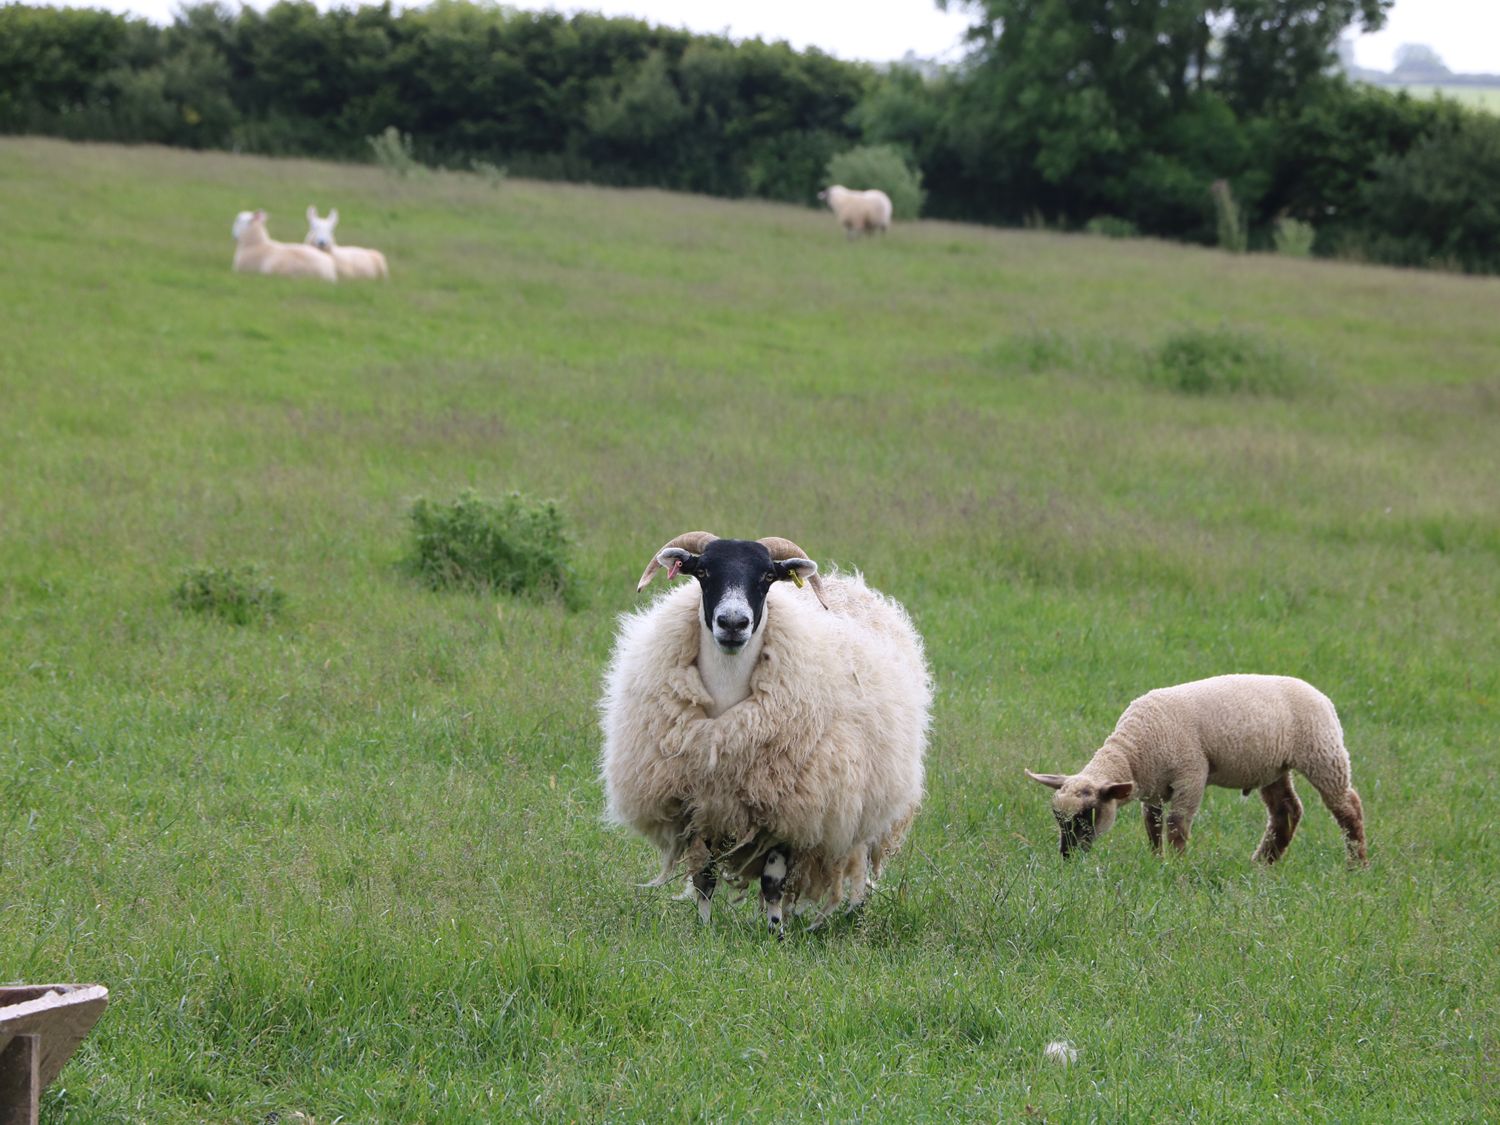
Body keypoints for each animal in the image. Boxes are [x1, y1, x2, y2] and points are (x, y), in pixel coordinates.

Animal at [594, 534, 924, 936]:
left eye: (767, 576)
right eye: (703, 572)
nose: (733, 622)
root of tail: (848, 581)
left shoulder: (789, 811)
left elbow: (772, 881)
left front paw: (775, 934)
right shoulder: (703, 801)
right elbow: (704, 877)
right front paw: (705, 930)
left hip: (863, 799)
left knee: (858, 859)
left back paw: (854, 915)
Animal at [1026, 675, 1368, 870]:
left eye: (1087, 814)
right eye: (1058, 818)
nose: (1067, 857)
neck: (1134, 748)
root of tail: (1323, 697)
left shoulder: (1191, 775)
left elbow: (1176, 825)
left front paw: (1178, 869)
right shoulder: (1152, 787)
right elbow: (1152, 825)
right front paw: (1157, 861)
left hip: (1323, 753)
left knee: (1347, 806)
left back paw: (1357, 865)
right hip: (1272, 767)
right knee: (1286, 811)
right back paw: (1262, 864)